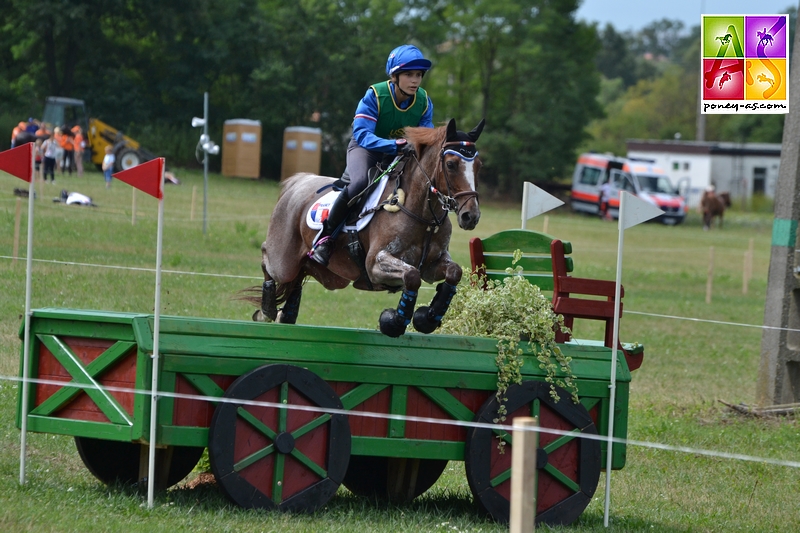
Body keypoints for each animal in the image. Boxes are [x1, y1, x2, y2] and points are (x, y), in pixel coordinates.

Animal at [250, 119, 484, 336]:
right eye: (451, 164)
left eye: (478, 165)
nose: (470, 216)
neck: (424, 216)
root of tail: (298, 181)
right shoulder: (375, 264)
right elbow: (411, 276)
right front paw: (394, 321)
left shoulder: (431, 265)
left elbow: (453, 272)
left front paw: (428, 318)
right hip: (284, 261)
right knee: (268, 259)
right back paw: (267, 310)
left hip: (328, 275)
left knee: (297, 278)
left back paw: (286, 314)